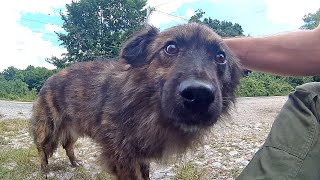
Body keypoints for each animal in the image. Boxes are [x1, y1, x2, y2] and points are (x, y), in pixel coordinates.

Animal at [31, 23, 242, 179]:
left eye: (221, 57)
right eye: (171, 48)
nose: (199, 94)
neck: (147, 106)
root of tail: (49, 79)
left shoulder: (140, 153)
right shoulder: (121, 156)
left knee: (68, 145)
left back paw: (75, 163)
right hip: (50, 128)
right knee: (42, 149)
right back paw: (45, 170)